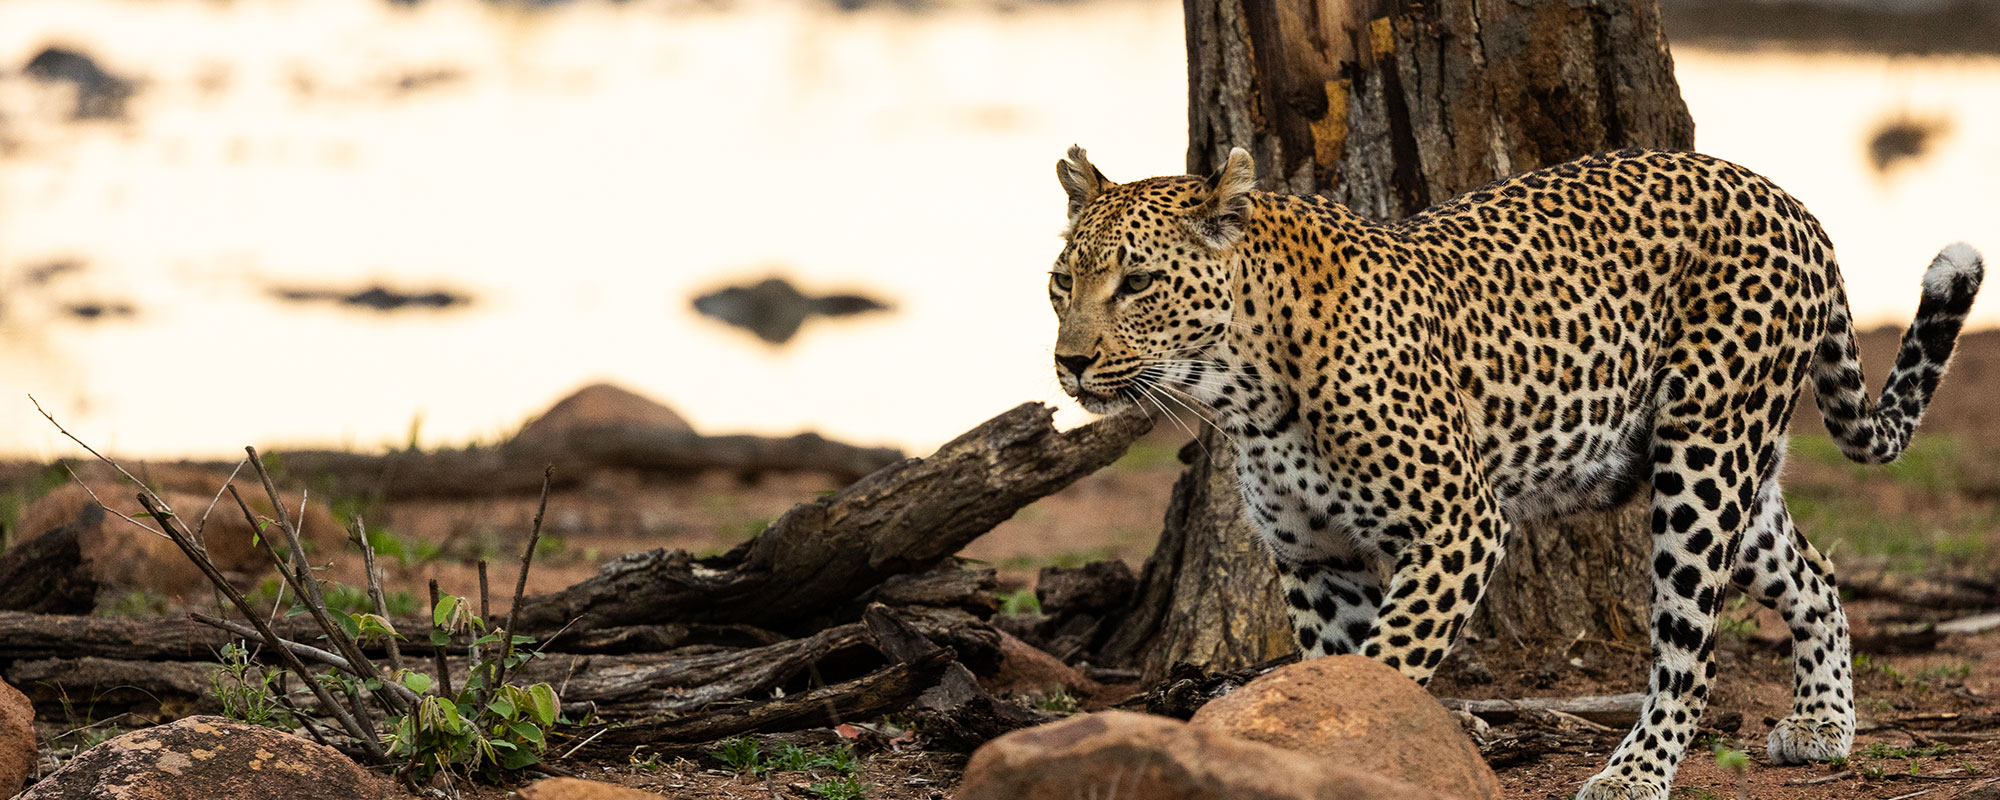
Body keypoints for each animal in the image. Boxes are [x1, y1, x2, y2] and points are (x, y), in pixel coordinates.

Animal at [1044, 144, 1983, 799]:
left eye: (1138, 281)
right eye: (1061, 281)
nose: (1068, 363)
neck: (1244, 388)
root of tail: (1791, 202)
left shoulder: (1458, 526)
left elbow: (1389, 661)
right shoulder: (1316, 560)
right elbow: (1343, 669)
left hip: (1704, 458)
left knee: (1691, 651)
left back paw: (1635, 772)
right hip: (1724, 471)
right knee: (1816, 572)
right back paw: (1823, 722)